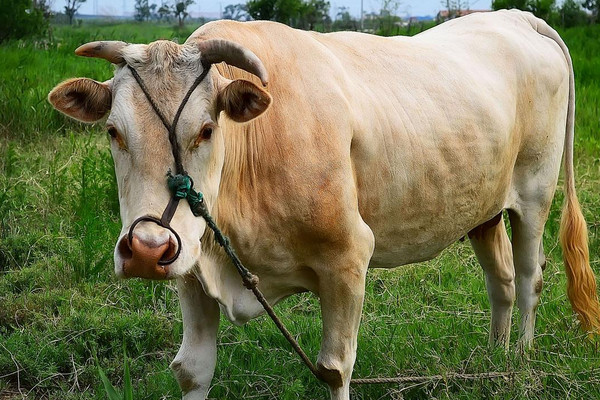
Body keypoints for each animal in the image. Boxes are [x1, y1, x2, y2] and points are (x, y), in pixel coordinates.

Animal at [49, 9, 596, 400]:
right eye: (114, 131)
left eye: (205, 130)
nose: (146, 249)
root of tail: (516, 17)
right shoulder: (191, 266)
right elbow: (192, 371)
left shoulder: (348, 258)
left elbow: (335, 370)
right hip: (481, 207)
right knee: (499, 280)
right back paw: (493, 360)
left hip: (534, 195)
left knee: (528, 278)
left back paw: (519, 360)